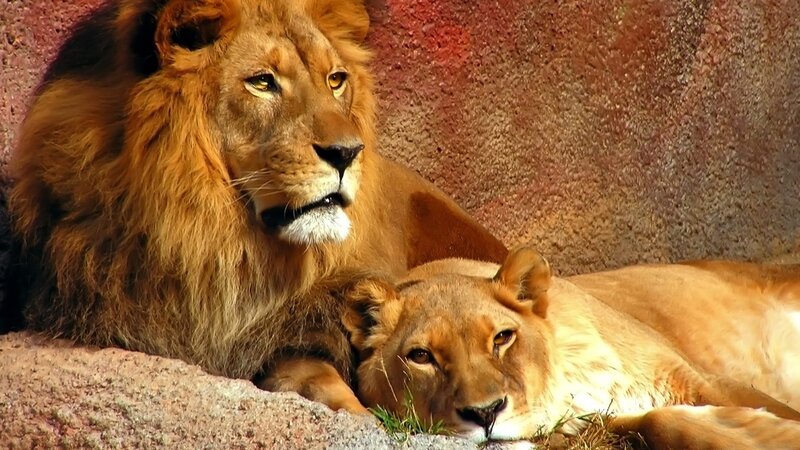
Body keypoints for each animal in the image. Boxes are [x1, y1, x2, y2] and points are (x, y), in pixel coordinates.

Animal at [344, 246, 800, 447]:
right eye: (421, 357)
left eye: (502, 337)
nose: (485, 414)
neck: (573, 377)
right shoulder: (606, 421)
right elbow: (663, 423)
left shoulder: (700, 377)